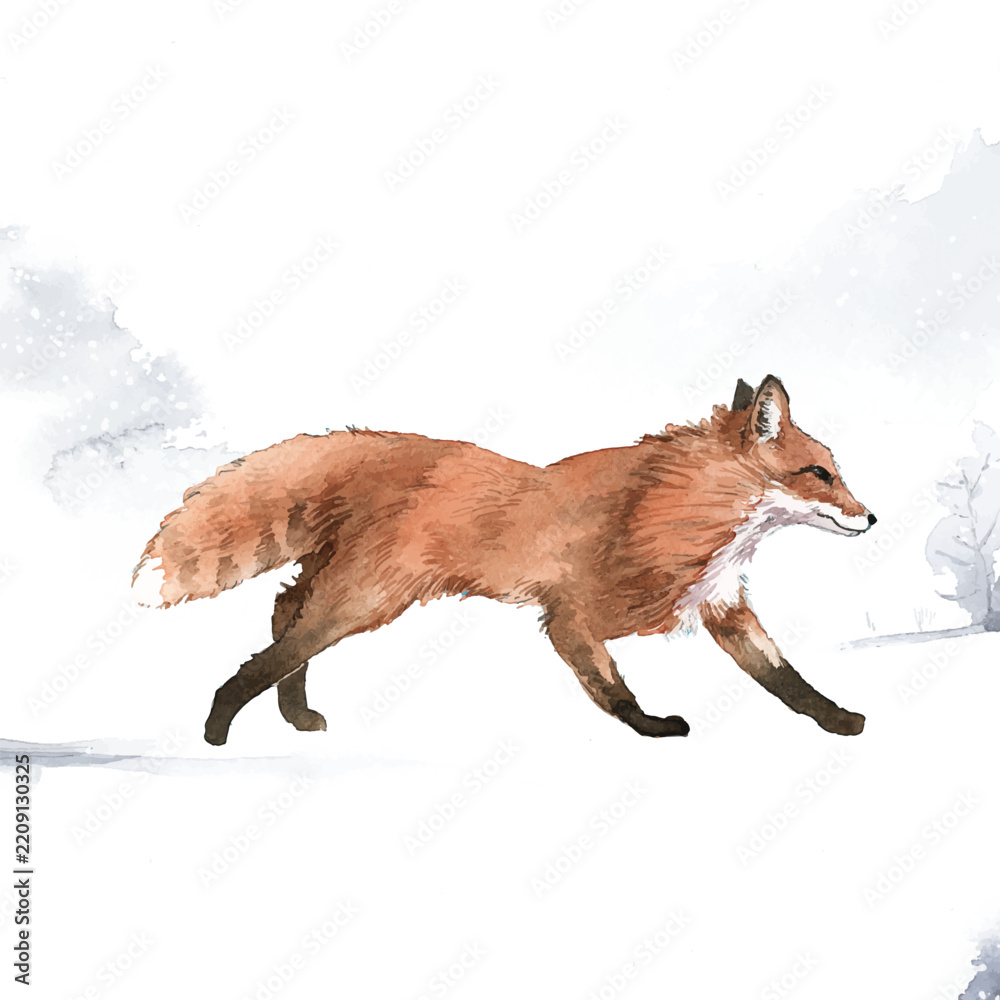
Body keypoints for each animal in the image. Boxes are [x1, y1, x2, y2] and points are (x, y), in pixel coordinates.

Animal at [133, 374, 876, 745]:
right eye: (820, 474)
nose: (871, 518)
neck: (684, 504)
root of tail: (393, 447)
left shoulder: (723, 606)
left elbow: (787, 680)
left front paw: (841, 720)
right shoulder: (574, 614)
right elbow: (614, 690)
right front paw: (653, 729)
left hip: (348, 588)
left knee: (283, 610)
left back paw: (293, 715)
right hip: (366, 599)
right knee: (280, 642)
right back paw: (219, 723)